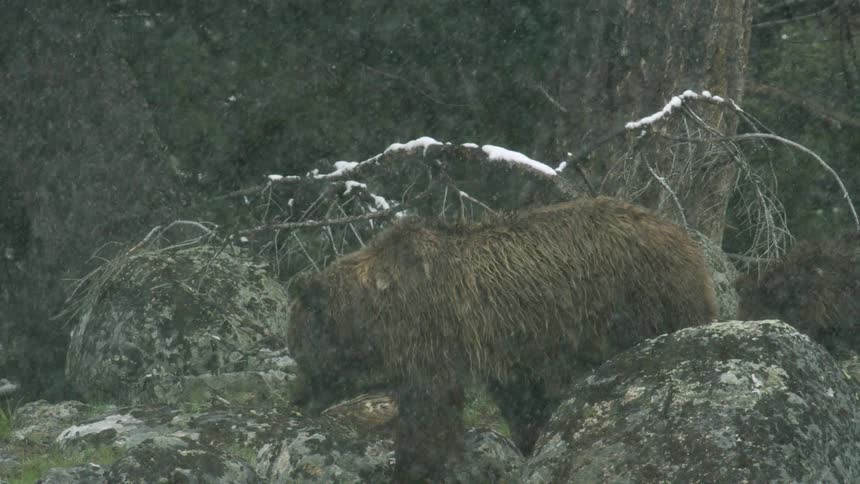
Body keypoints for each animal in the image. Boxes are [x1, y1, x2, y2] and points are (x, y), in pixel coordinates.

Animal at [287, 196, 718, 482]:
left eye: (298, 350)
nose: (298, 399)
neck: (375, 311)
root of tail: (686, 239)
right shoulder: (511, 352)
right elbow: (523, 404)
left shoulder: (430, 335)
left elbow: (428, 407)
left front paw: (414, 466)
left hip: (646, 300)